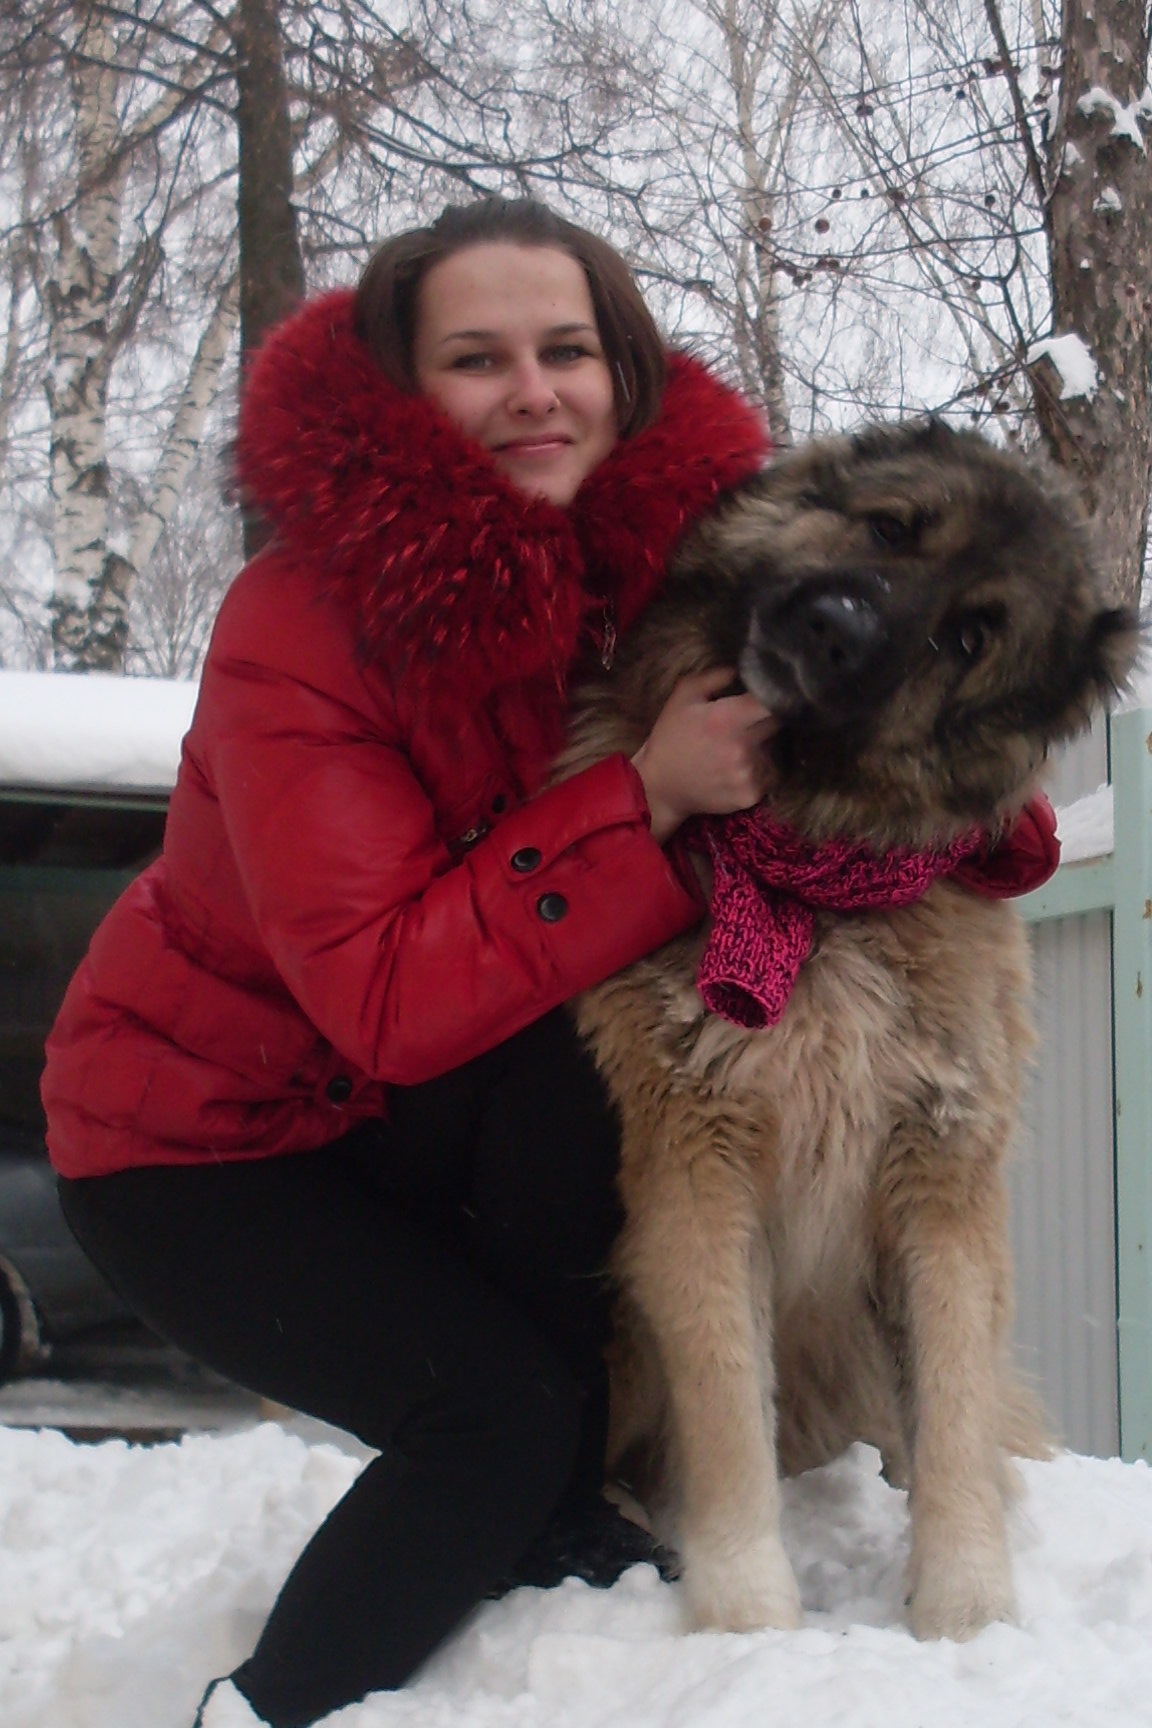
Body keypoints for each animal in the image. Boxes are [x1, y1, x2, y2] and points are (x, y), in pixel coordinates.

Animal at [559, 421, 1140, 1643]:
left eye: (970, 635)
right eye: (889, 527)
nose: (834, 628)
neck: (812, 862)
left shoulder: (942, 1167)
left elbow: (954, 1403)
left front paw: (966, 1617)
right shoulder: (697, 1162)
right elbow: (726, 1401)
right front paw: (748, 1622)